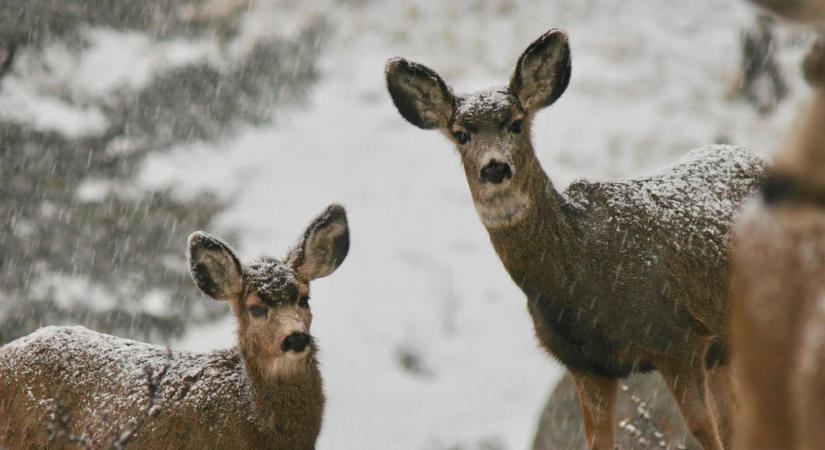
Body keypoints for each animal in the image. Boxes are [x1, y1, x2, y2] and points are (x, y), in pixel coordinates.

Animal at [386, 29, 768, 448]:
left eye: (516, 123)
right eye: (461, 134)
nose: (495, 168)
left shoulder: (679, 339)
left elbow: (705, 432)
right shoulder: (585, 364)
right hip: (725, 348)